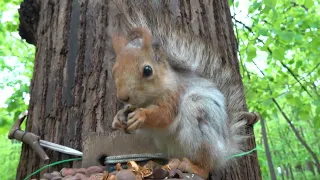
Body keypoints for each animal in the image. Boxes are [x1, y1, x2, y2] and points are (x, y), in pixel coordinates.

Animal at [109, 26, 258, 179]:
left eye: (147, 70)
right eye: (114, 71)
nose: (123, 97)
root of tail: (225, 148)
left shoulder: (174, 96)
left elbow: (164, 116)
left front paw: (141, 115)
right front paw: (118, 118)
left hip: (199, 123)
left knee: (205, 167)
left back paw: (193, 167)